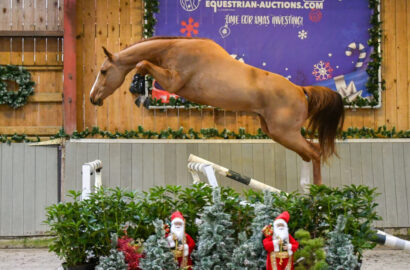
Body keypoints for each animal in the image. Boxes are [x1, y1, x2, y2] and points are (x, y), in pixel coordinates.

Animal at [89, 36, 342, 188]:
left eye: (103, 71)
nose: (93, 98)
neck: (174, 48)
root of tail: (301, 90)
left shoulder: (173, 81)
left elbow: (142, 64)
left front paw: (138, 90)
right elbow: (143, 65)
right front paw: (140, 92)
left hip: (285, 133)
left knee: (315, 152)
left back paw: (317, 192)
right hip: (275, 132)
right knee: (309, 153)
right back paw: (305, 189)